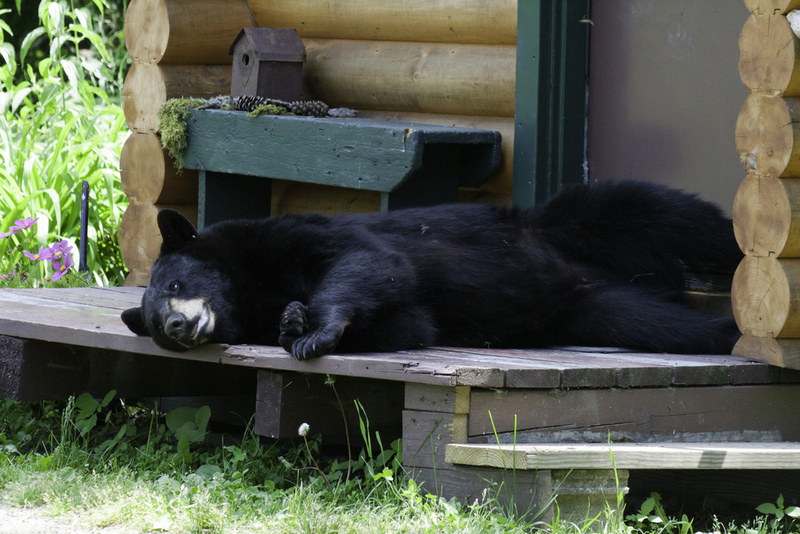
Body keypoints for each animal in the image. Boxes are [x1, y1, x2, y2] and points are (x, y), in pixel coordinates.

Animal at [122, 180, 740, 360]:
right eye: (152, 323)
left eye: (175, 283)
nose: (175, 325)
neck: (250, 287)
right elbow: (410, 325)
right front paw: (294, 322)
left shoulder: (291, 236)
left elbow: (364, 260)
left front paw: (313, 327)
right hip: (593, 310)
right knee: (662, 323)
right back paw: (721, 330)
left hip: (571, 222)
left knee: (670, 214)